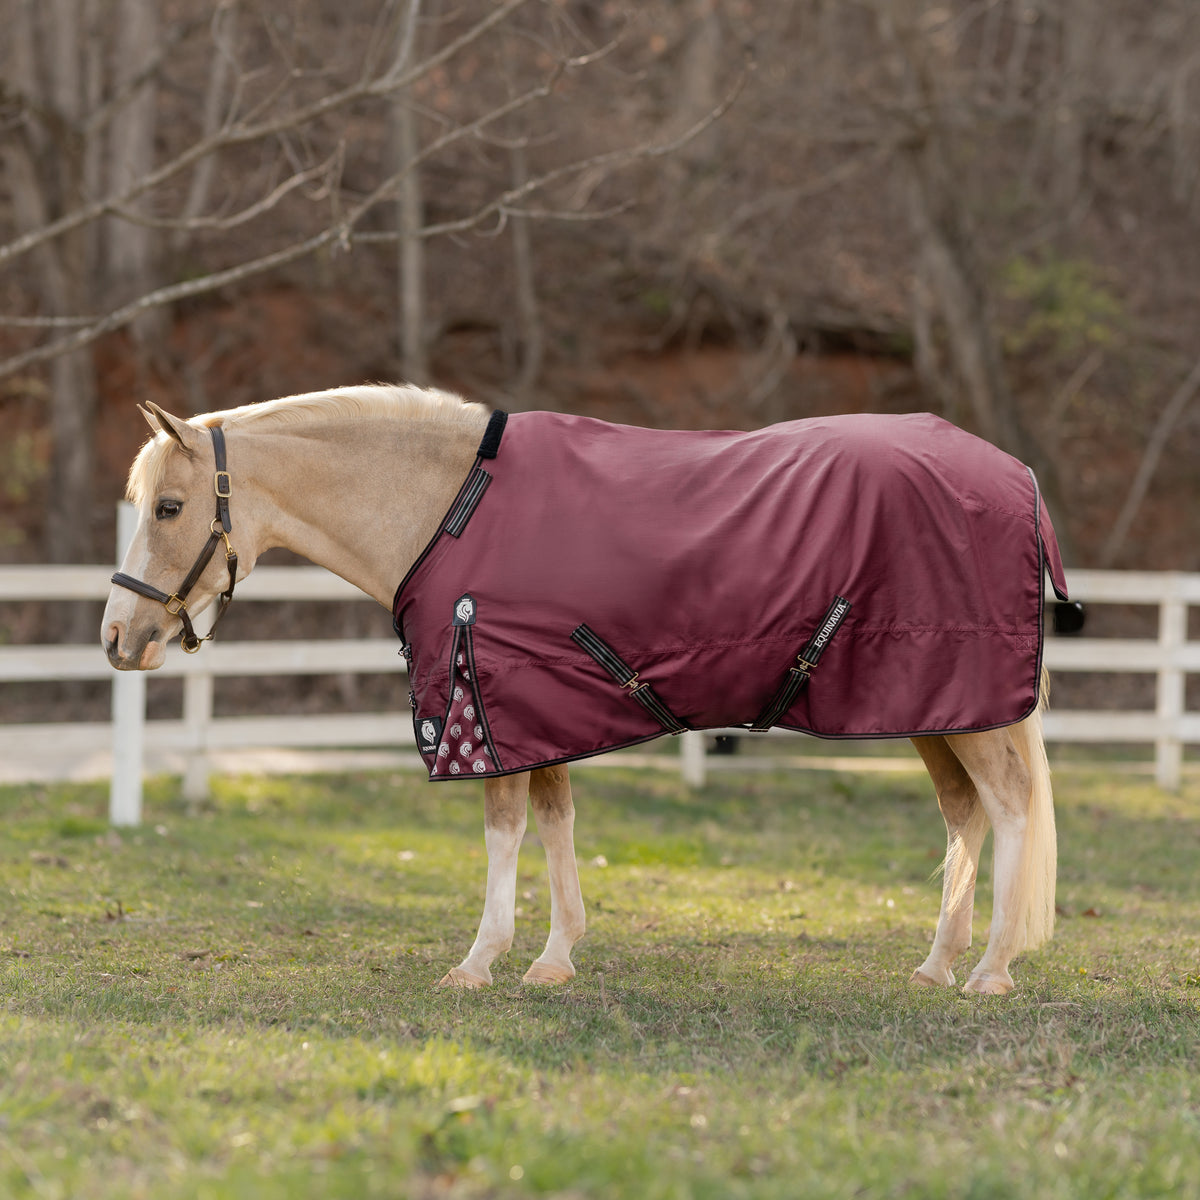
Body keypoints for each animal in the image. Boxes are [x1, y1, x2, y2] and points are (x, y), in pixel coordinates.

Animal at [102, 384, 1064, 996]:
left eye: (169, 508)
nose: (117, 639)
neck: (447, 508)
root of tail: (1015, 475)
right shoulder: (530, 709)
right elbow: (556, 824)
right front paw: (555, 958)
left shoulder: (480, 710)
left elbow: (506, 833)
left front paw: (479, 963)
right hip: (937, 708)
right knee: (964, 815)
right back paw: (938, 964)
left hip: (968, 708)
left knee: (1010, 806)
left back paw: (990, 972)